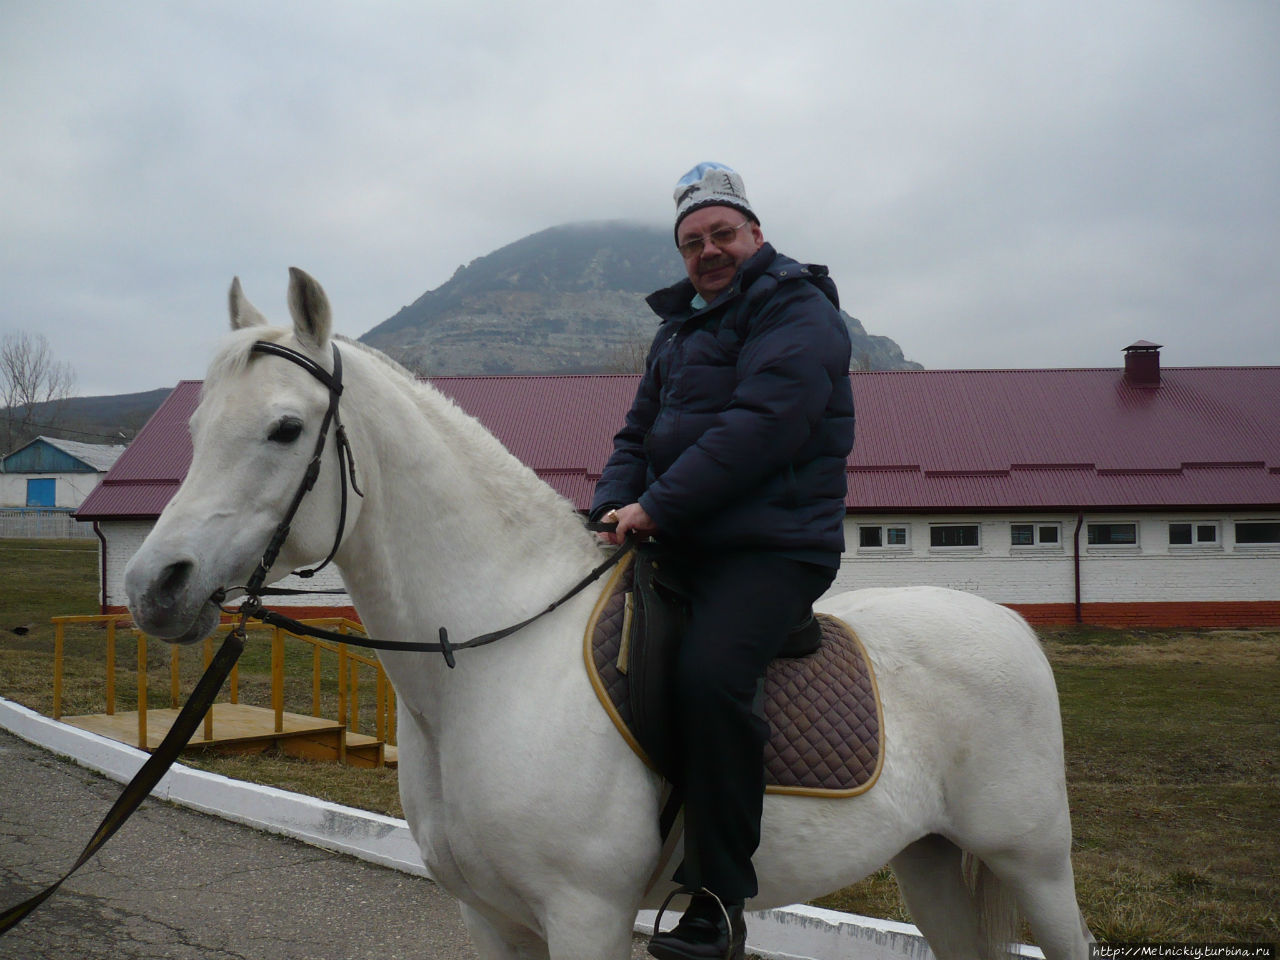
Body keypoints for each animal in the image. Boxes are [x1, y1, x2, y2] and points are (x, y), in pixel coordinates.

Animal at [127, 271, 1090, 960]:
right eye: (196, 429)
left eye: (285, 430)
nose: (154, 586)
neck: (494, 666)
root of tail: (1008, 626)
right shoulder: (491, 919)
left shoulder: (583, 913)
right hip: (929, 859)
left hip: (1035, 863)